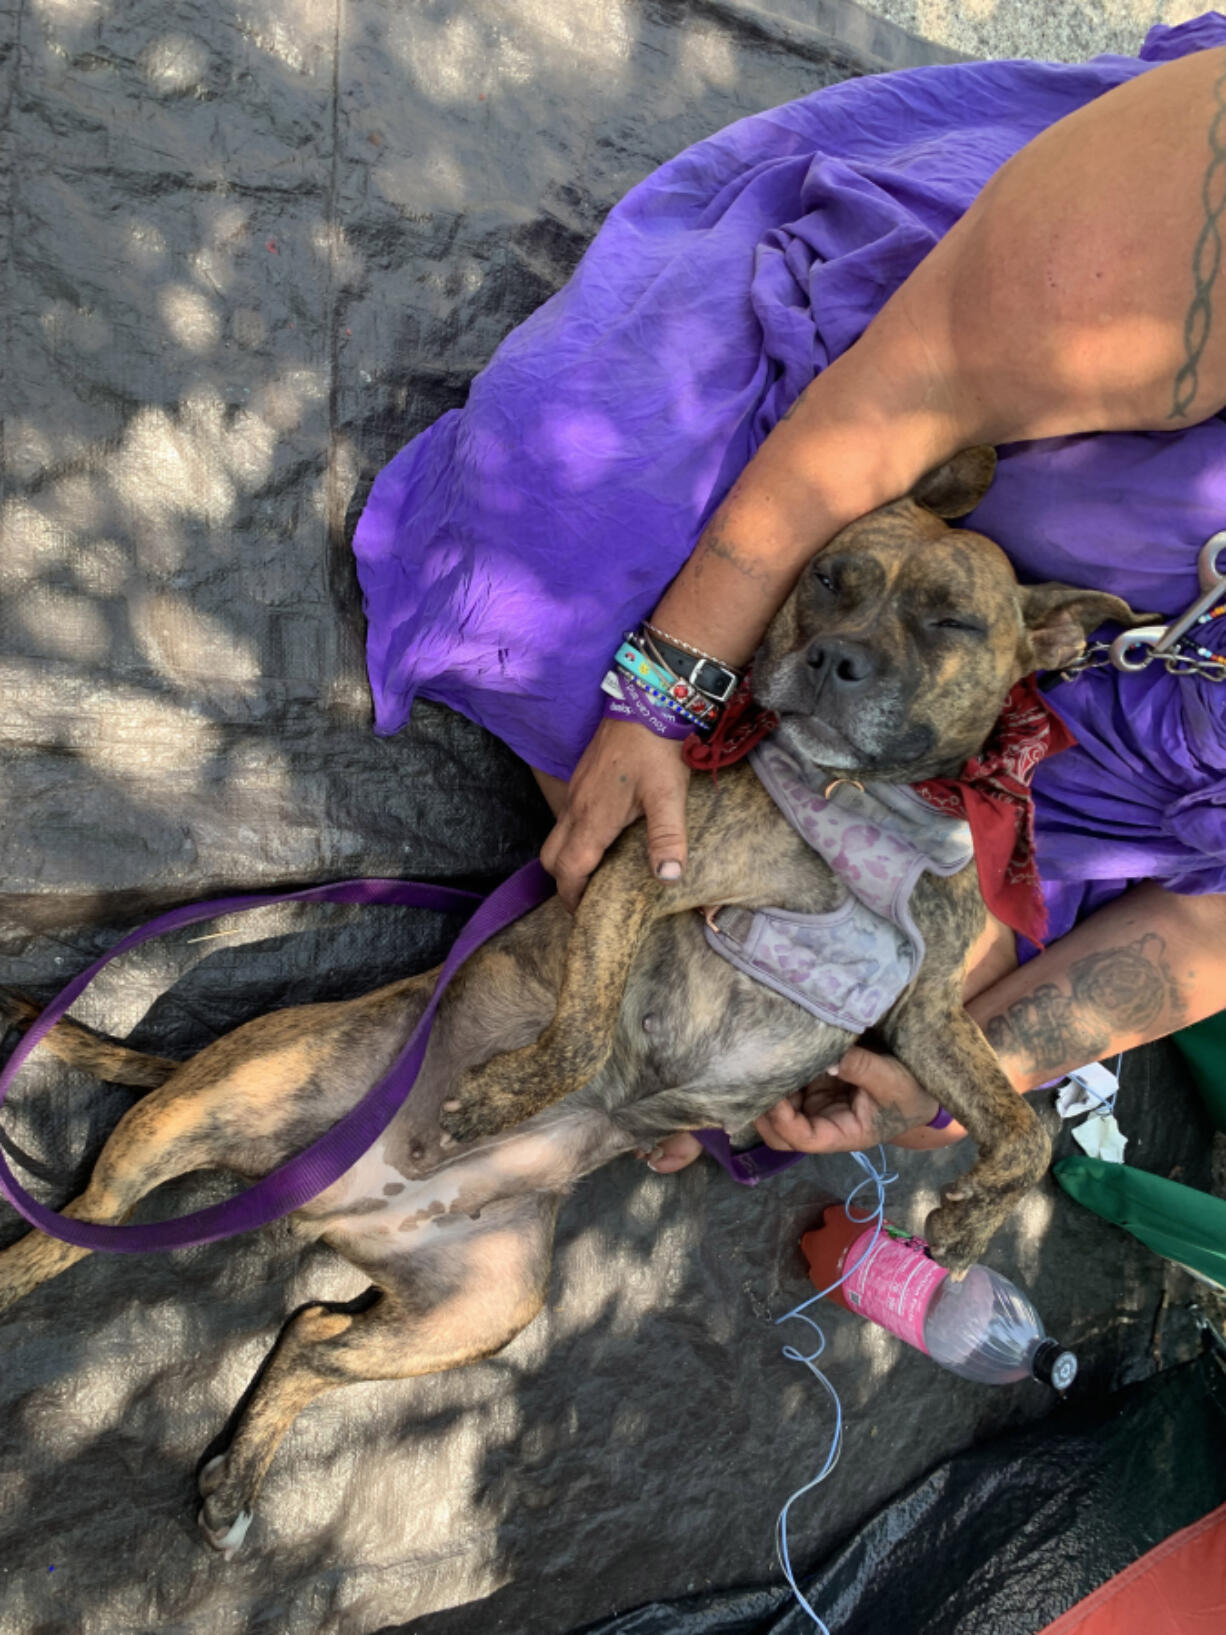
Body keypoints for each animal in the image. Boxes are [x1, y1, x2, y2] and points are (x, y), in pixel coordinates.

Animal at [0, 447, 1131, 1556]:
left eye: (950, 622)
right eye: (825, 579)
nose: (831, 660)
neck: (872, 807)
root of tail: (326, 1197)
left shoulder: (927, 1016)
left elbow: (1018, 1122)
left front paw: (975, 1218)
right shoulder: (642, 874)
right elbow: (585, 1035)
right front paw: (503, 1098)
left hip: (477, 1308)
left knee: (314, 1333)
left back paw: (238, 1477)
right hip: (207, 1112)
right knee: (82, 1220)